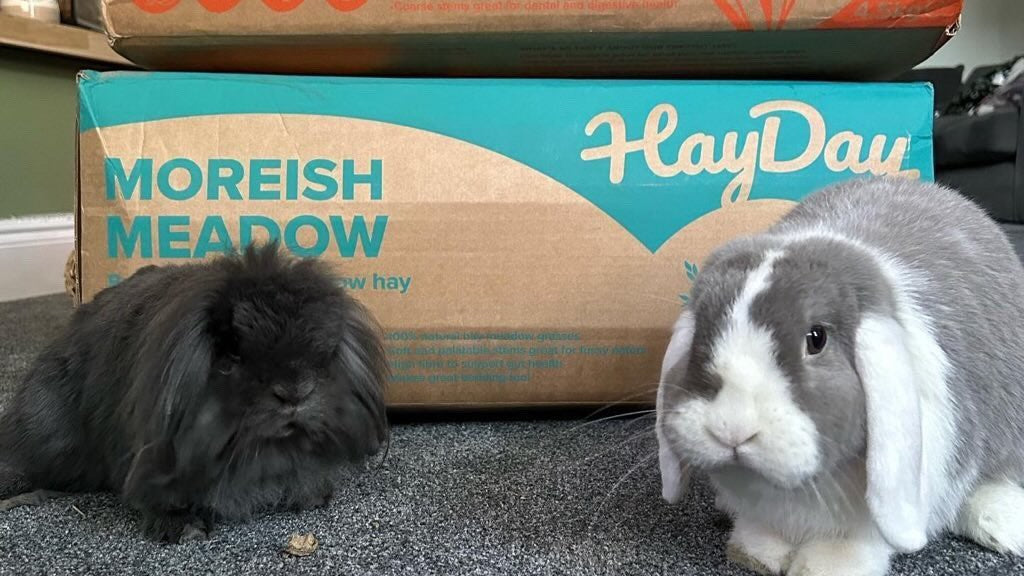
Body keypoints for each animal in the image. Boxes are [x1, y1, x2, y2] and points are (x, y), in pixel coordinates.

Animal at [656, 176, 1024, 576]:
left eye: (816, 338)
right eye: (700, 331)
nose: (731, 429)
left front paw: (825, 566)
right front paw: (755, 553)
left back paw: (1002, 526)